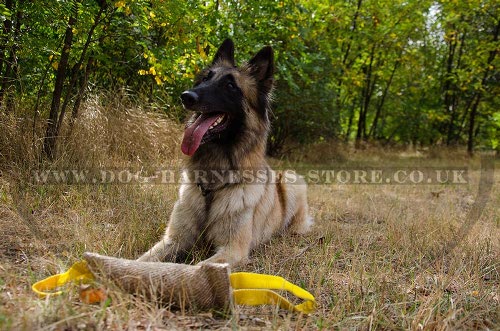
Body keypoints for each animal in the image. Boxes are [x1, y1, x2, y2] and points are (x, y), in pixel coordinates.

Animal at [138, 39, 312, 268]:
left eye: (230, 86)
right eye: (205, 79)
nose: (186, 96)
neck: (211, 188)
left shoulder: (232, 251)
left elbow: (197, 269)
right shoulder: (172, 240)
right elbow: (141, 261)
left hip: (292, 179)